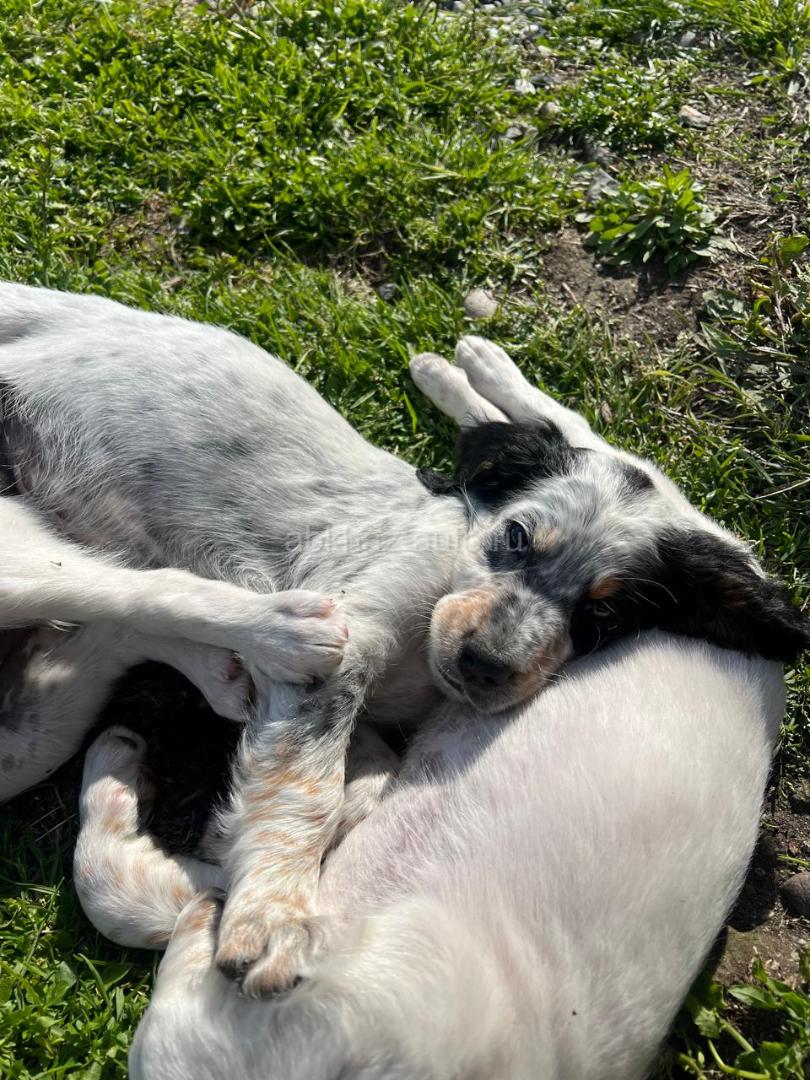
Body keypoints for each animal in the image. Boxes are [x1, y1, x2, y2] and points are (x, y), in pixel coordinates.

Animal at [0, 283, 805, 996]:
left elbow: (353, 790)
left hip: (39, 723)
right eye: (516, 538)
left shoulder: (376, 719)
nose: (484, 668)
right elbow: (305, 786)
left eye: (604, 618)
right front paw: (271, 915)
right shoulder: (348, 643)